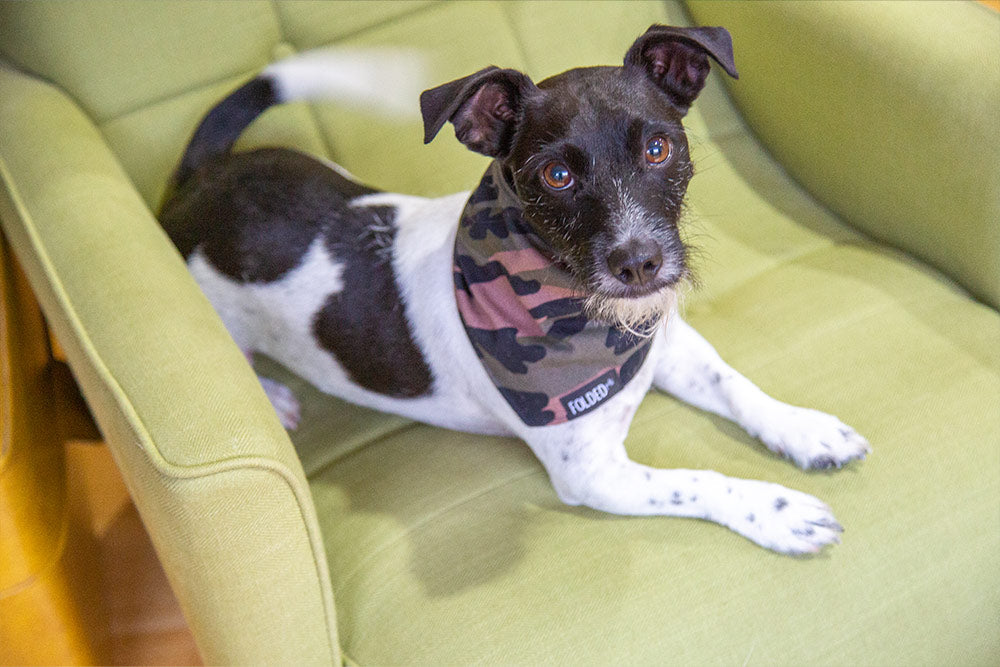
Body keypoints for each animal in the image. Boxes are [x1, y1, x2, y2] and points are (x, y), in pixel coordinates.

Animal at [160, 26, 872, 556]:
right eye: (555, 175)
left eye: (659, 148)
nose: (639, 265)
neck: (589, 318)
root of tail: (201, 178)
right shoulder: (593, 473)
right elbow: (698, 481)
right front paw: (776, 510)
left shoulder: (664, 345)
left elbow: (735, 383)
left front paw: (805, 430)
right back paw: (274, 395)